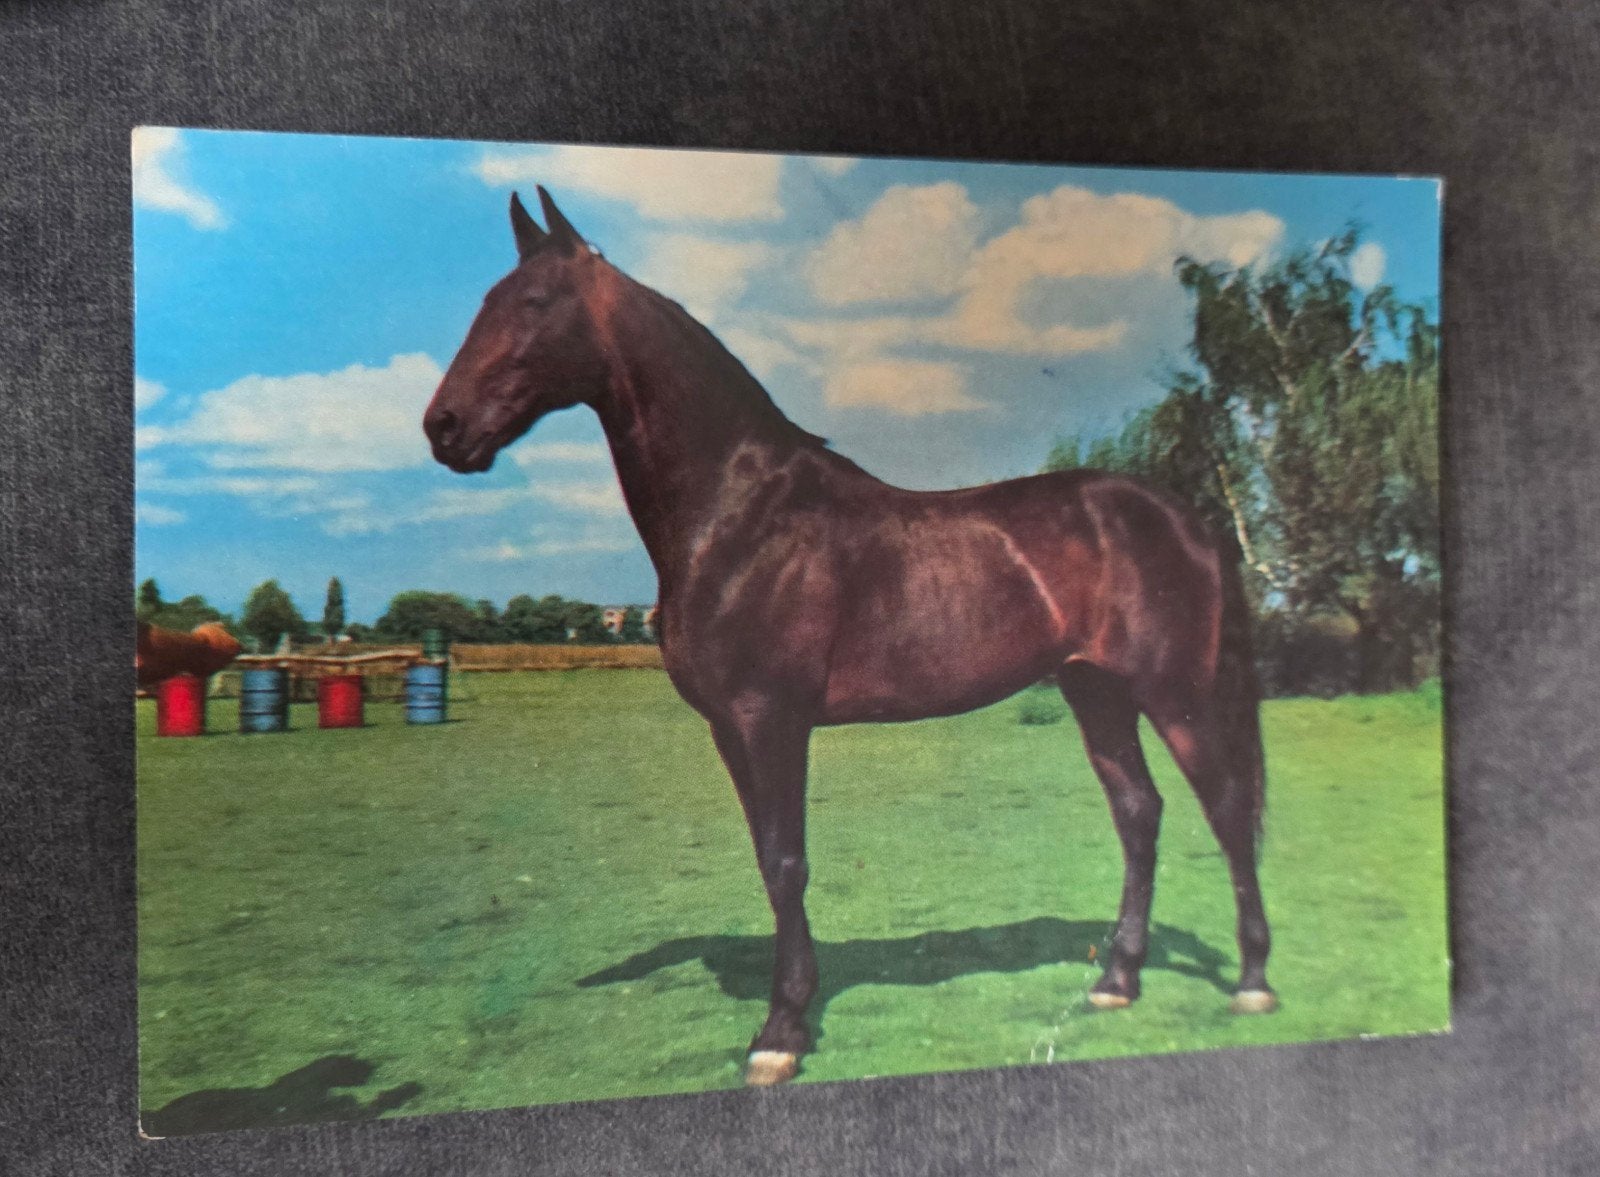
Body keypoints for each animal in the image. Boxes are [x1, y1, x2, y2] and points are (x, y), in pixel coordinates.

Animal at [423, 188, 1275, 1087]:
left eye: (532, 302)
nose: (443, 427)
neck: (741, 513)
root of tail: (1185, 516)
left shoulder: (773, 718)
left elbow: (788, 861)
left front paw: (781, 1031)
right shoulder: (730, 729)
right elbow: (767, 861)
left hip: (1174, 694)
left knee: (1224, 808)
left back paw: (1253, 980)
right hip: (1096, 691)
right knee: (1139, 812)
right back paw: (1117, 979)